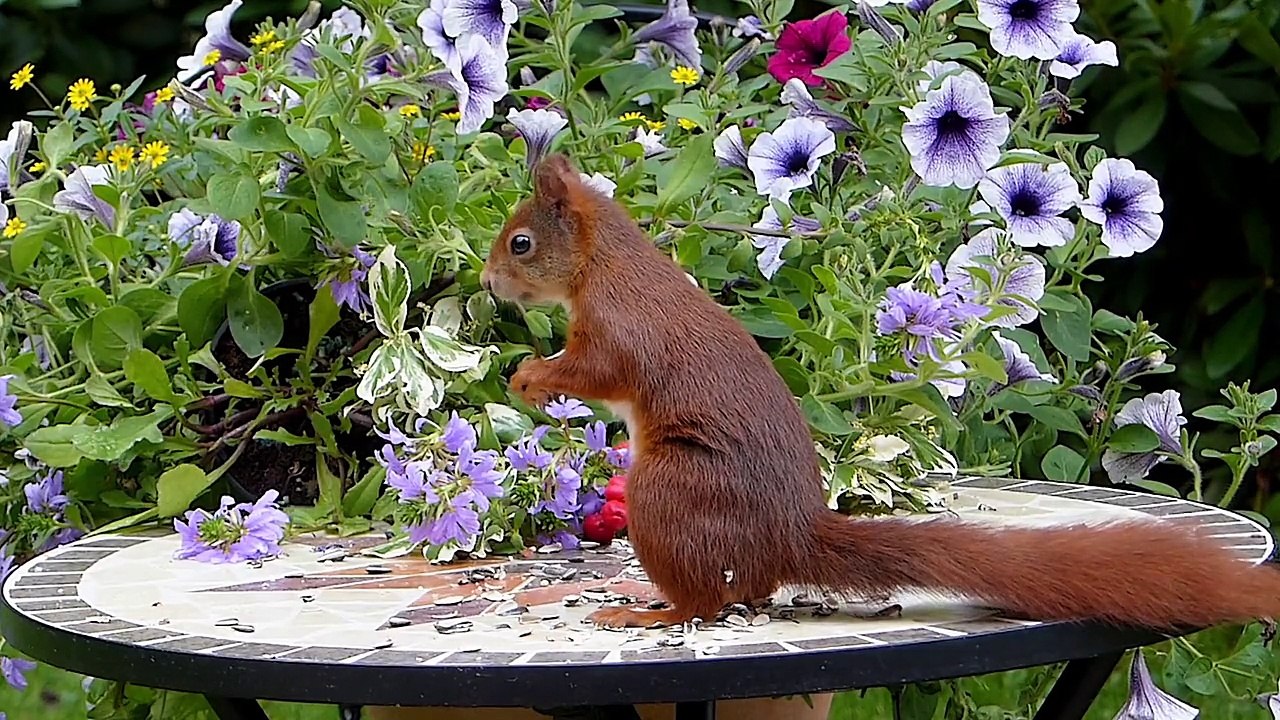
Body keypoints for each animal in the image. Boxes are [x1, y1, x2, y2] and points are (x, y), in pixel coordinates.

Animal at [479, 153, 1280, 630]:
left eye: (521, 243)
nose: (487, 283)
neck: (603, 265)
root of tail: (790, 537)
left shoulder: (620, 333)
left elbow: (593, 372)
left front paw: (530, 376)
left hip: (672, 491)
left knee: (712, 597)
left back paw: (649, 613)